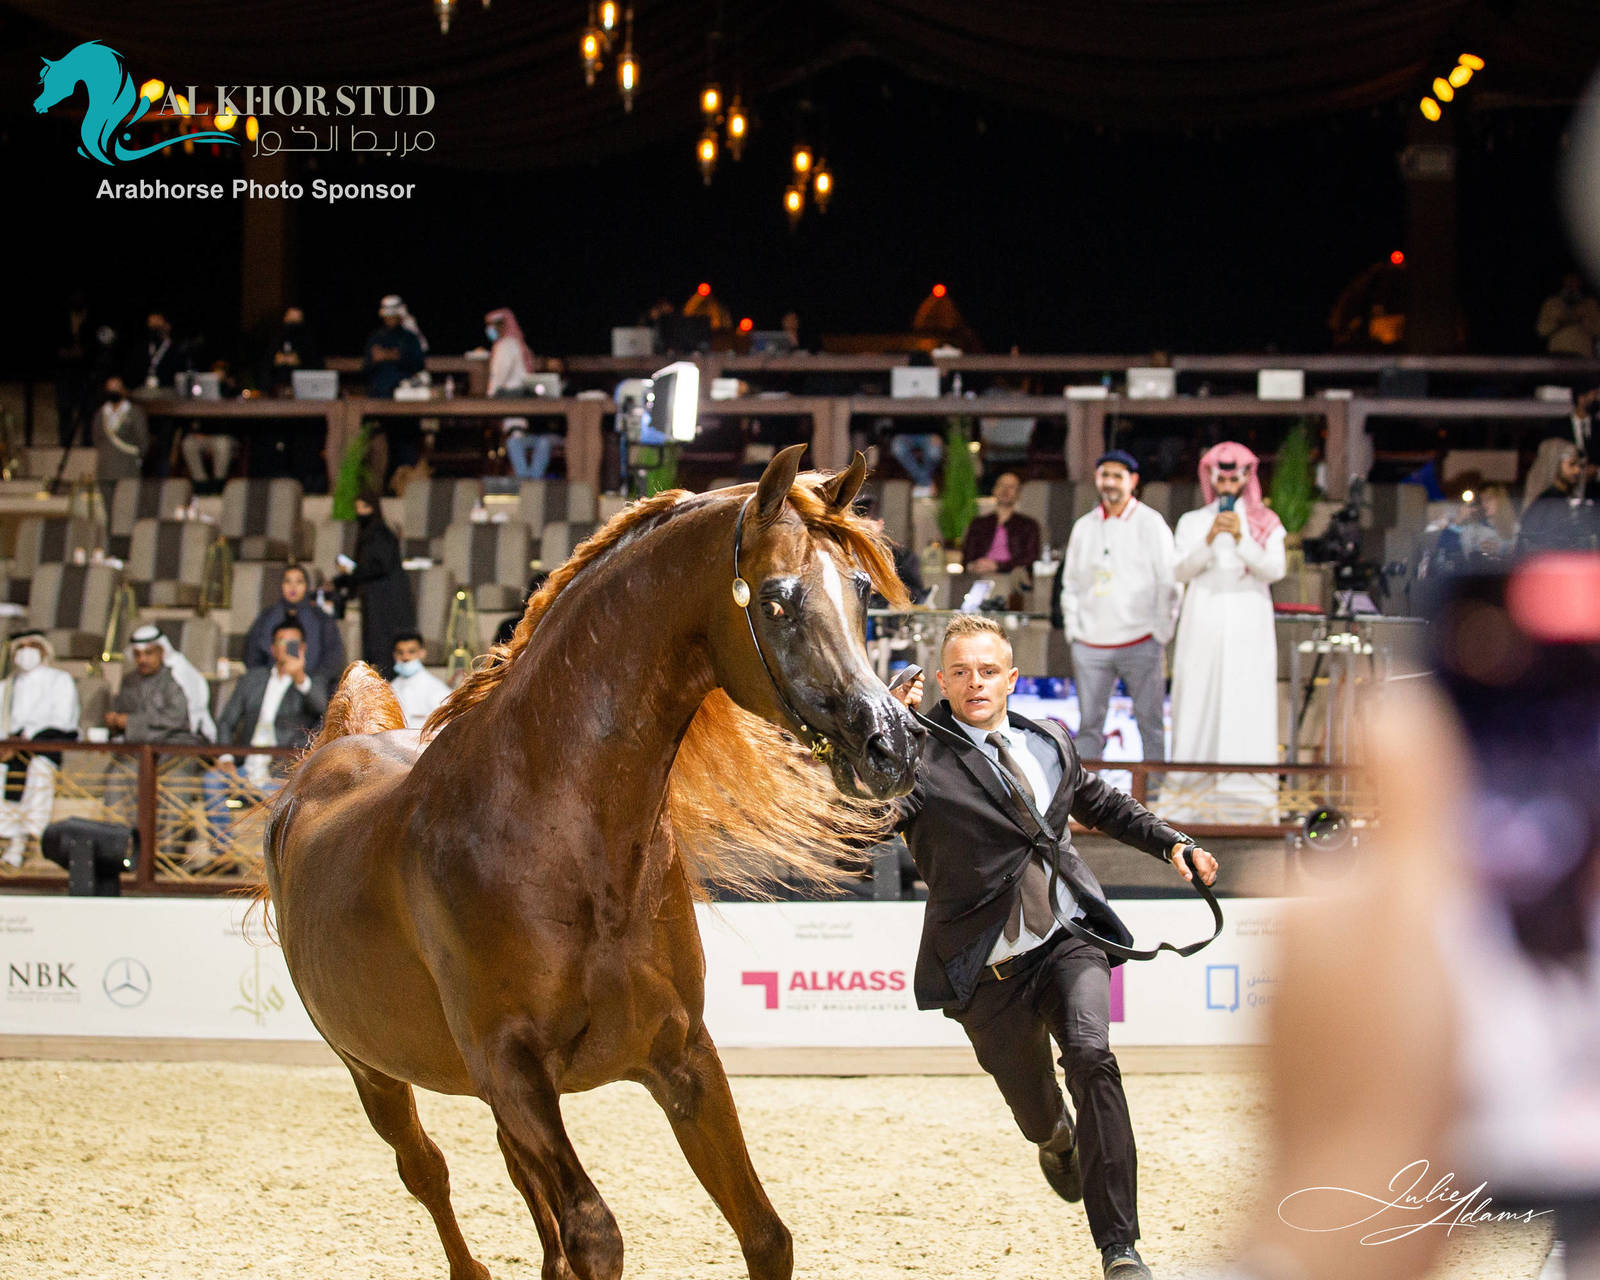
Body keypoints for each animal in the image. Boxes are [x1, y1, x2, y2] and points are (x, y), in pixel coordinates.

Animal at [260, 444, 924, 1280]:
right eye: (775, 601)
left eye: (863, 592)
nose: (892, 744)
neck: (558, 838)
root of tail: (325, 760)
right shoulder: (514, 1072)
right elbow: (595, 1235)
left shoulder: (682, 1056)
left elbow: (766, 1235)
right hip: (373, 1072)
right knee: (428, 1172)